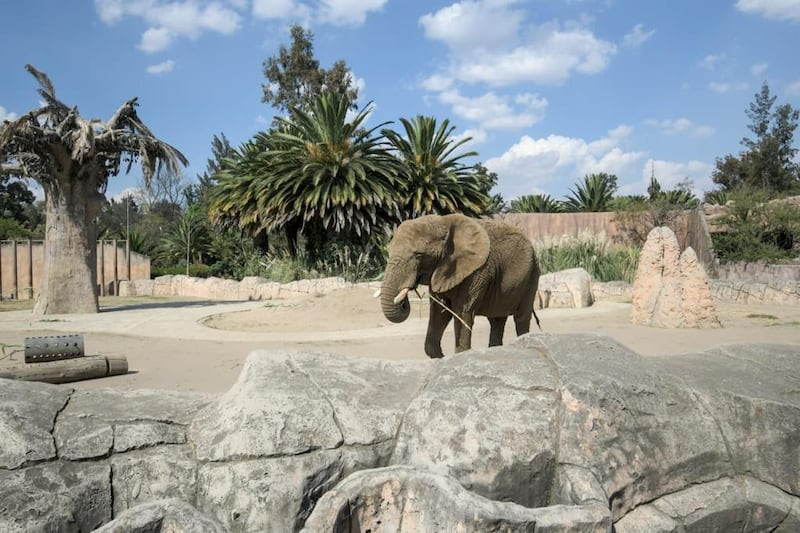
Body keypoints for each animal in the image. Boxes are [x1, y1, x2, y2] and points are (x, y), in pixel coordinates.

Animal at [380, 213, 540, 358]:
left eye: (419, 255)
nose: (403, 300)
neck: (443, 222)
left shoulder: (477, 272)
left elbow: (461, 312)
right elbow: (439, 311)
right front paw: (441, 357)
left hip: (532, 275)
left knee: (521, 317)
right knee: (497, 319)